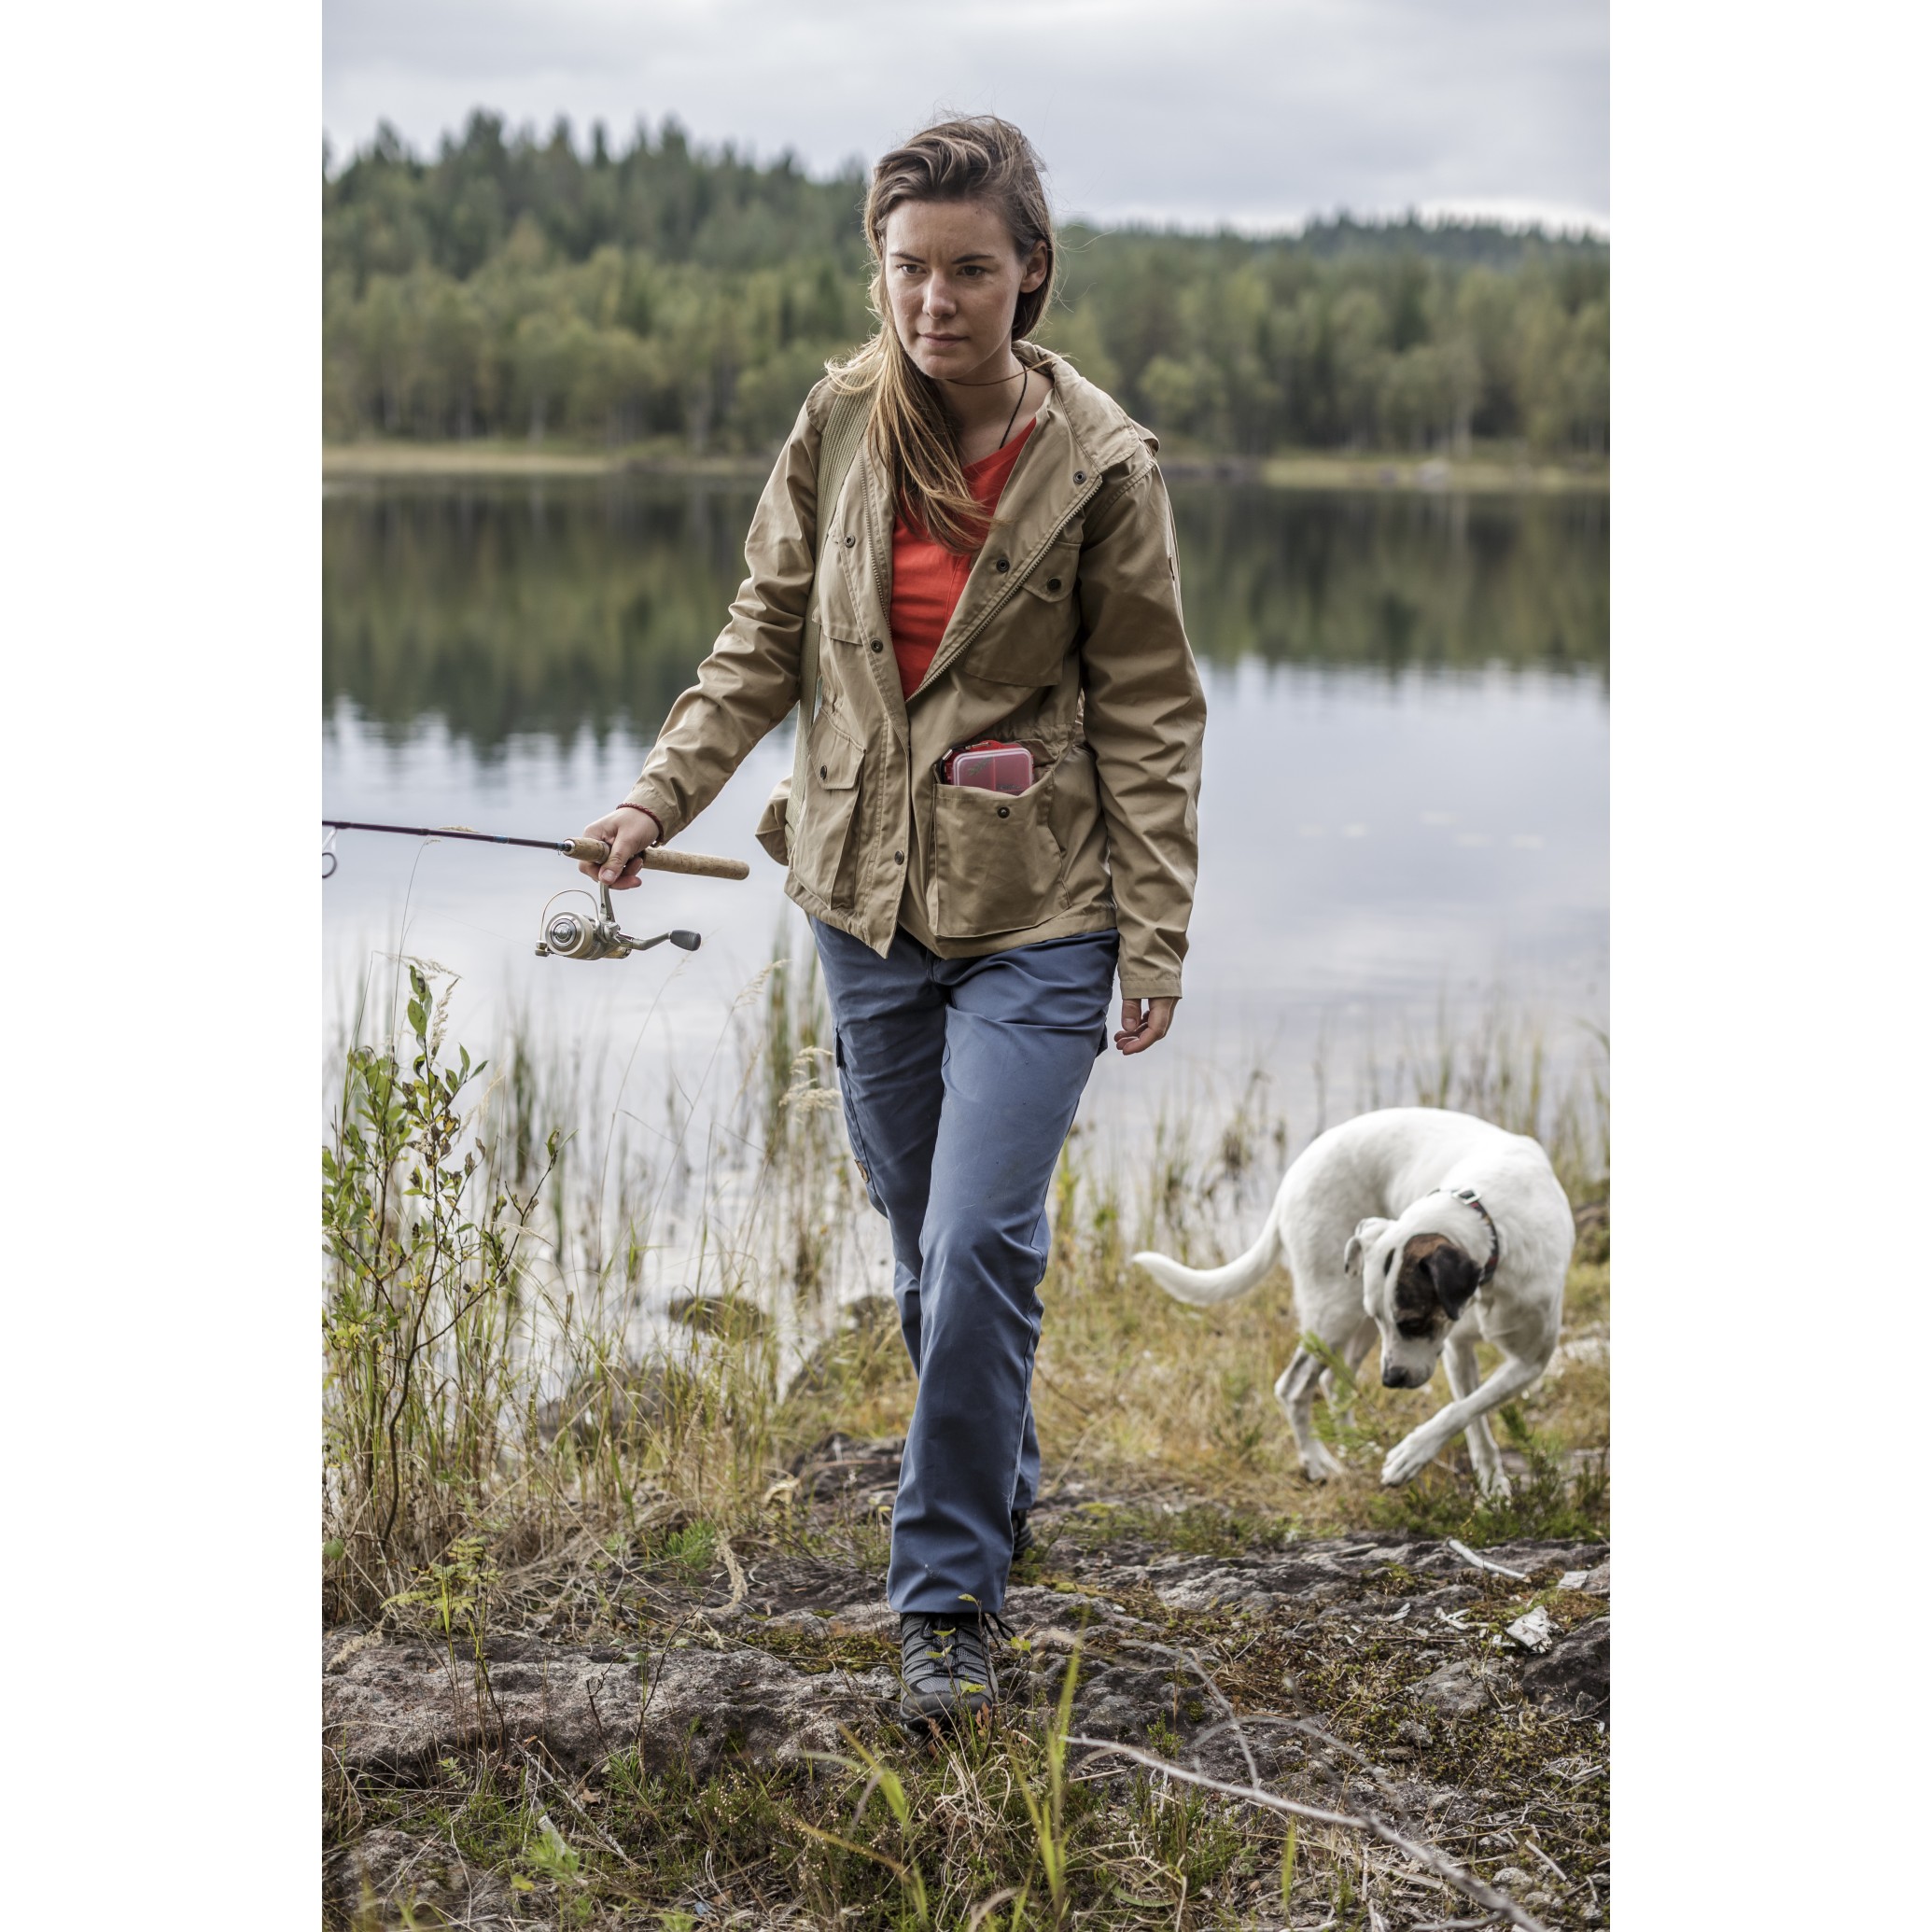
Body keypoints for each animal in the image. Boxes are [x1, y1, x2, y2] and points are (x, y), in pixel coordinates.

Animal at [1131, 1107, 1573, 1495]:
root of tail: (1291, 1178)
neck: (1487, 1221)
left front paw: (1462, 1473)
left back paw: (1354, 1446)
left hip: (1352, 1319)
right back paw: (1316, 1462)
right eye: (1401, 1321)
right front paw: (1469, 1476)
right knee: (1293, 1386)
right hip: (1338, 1314)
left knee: (1332, 1382)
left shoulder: (1530, 1361)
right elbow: (1472, 1419)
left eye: (1413, 1322)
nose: (1391, 1380)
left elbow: (1469, 1410)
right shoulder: (1454, 1350)